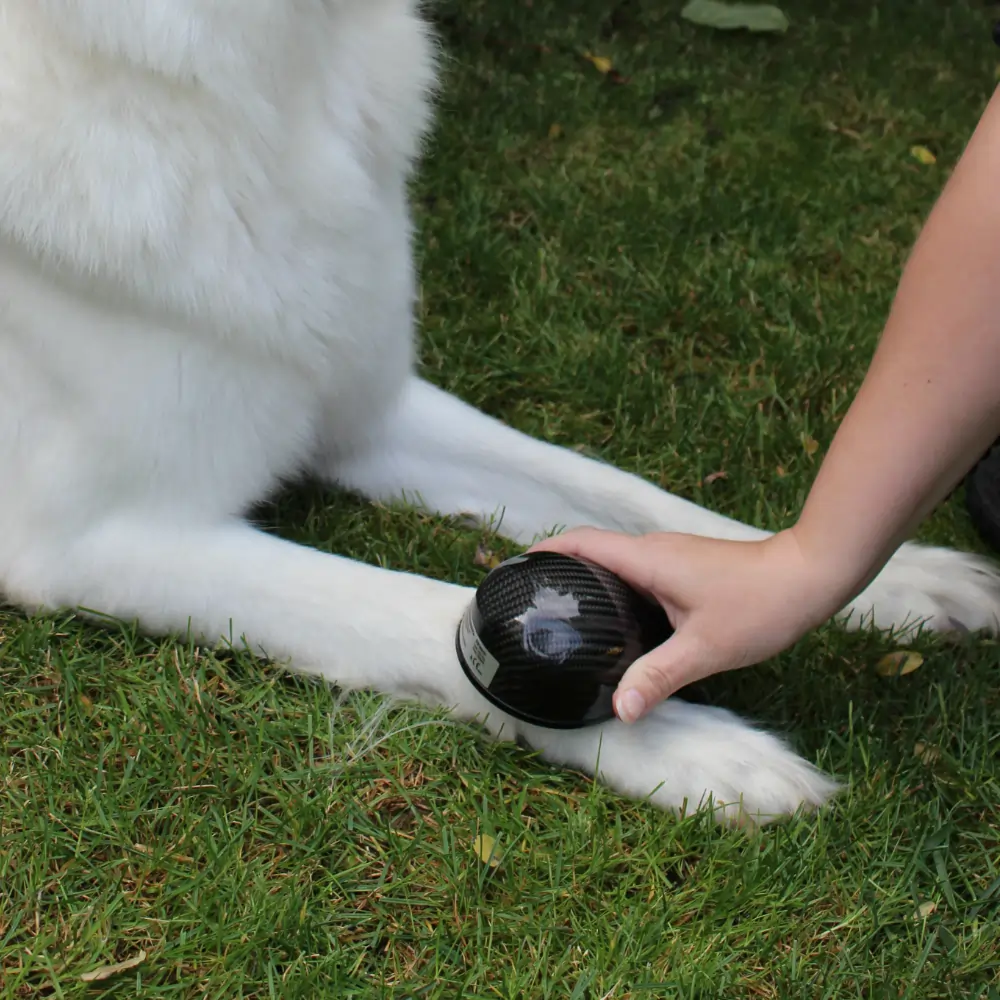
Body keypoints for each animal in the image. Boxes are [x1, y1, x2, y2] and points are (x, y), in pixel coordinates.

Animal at [3, 1, 996, 820]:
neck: (270, 77)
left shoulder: (370, 411)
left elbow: (632, 498)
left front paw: (900, 581)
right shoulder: (96, 539)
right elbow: (402, 605)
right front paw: (683, 743)